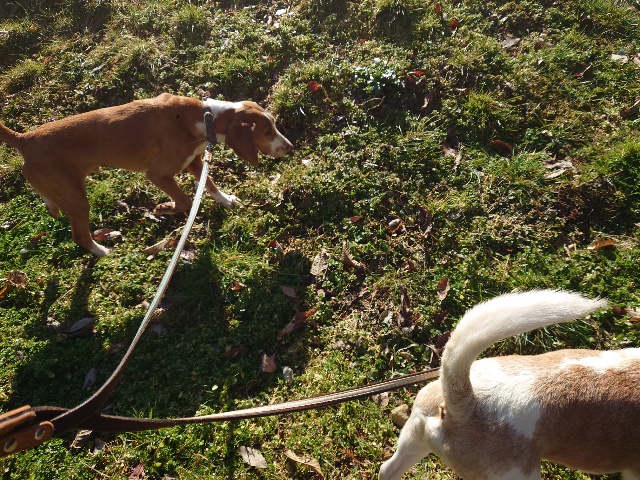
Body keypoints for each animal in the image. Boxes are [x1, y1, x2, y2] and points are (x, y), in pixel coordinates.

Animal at [0, 93, 293, 256]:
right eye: (267, 131)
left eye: (274, 126)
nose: (290, 147)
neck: (203, 118)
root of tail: (25, 139)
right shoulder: (158, 174)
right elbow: (187, 201)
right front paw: (164, 208)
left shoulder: (194, 161)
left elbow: (209, 185)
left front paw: (226, 200)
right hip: (77, 199)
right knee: (80, 235)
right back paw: (103, 252)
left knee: (51, 204)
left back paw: (52, 207)